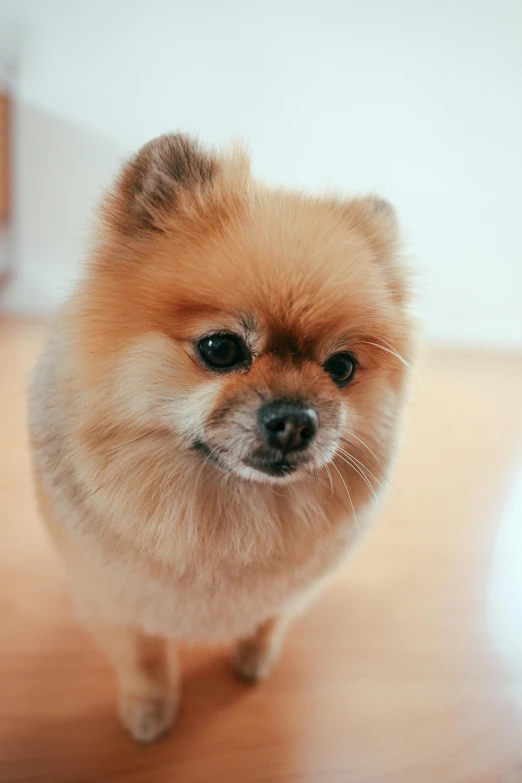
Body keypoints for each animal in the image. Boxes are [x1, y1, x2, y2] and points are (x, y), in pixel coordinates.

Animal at [28, 133, 412, 740]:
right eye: (221, 348)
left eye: (342, 368)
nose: (296, 419)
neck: (229, 515)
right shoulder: (112, 592)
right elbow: (145, 655)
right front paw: (150, 709)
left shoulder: (292, 588)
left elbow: (269, 620)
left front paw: (253, 658)